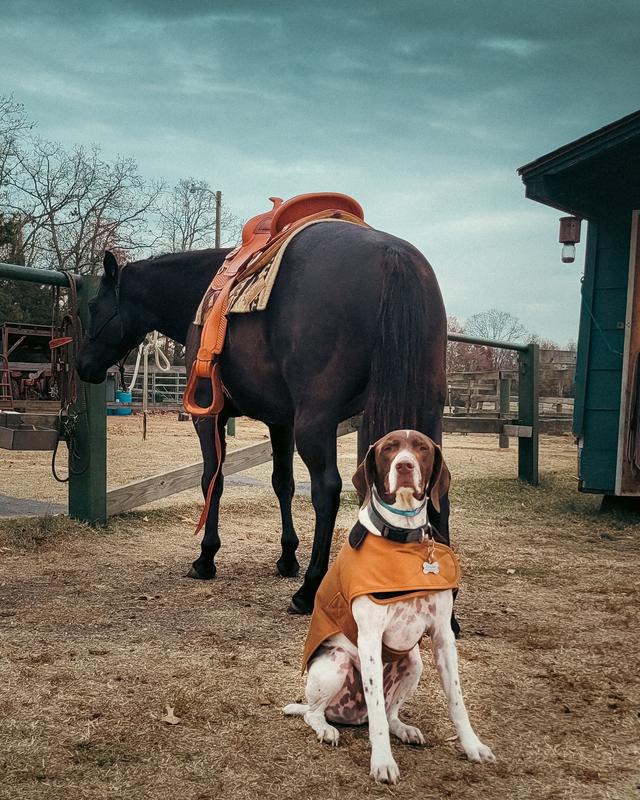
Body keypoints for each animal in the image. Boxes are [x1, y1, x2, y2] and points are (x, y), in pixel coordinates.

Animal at [76, 222, 450, 616]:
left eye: (94, 305)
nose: (83, 364)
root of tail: (393, 255)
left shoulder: (209, 416)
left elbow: (212, 480)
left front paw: (206, 558)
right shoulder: (280, 421)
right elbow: (282, 483)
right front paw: (287, 557)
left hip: (316, 421)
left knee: (326, 489)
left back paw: (308, 589)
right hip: (425, 414)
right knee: (437, 489)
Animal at [282, 428, 498, 784]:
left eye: (421, 447)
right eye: (388, 448)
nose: (405, 466)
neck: (403, 539)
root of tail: (351, 716)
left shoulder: (442, 636)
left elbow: (456, 700)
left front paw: (472, 746)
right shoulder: (369, 638)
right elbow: (377, 717)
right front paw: (383, 762)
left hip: (414, 663)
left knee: (388, 712)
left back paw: (404, 728)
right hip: (336, 664)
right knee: (318, 713)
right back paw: (326, 729)